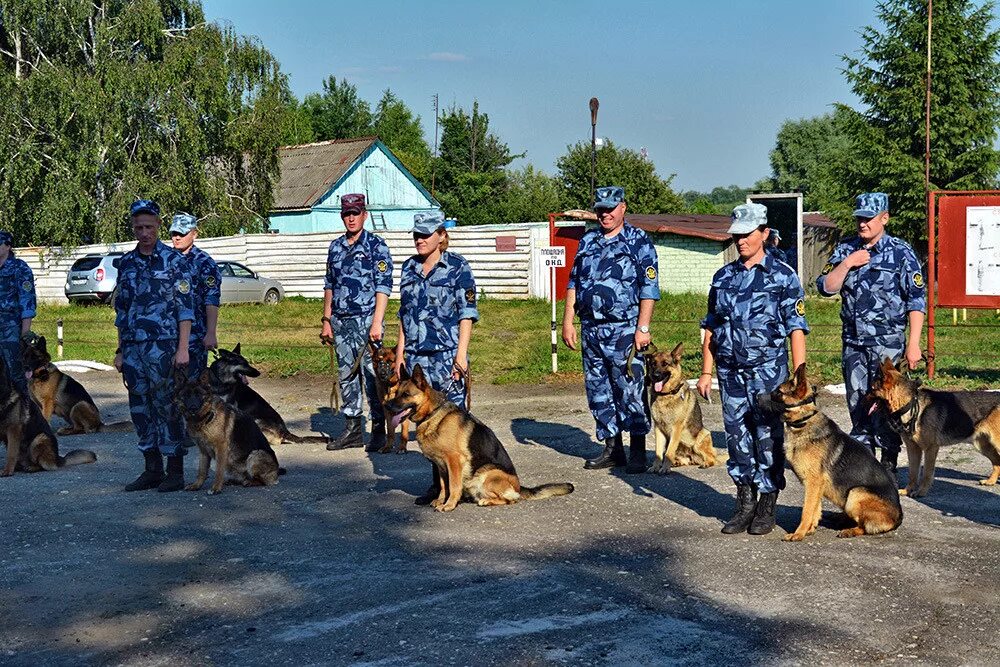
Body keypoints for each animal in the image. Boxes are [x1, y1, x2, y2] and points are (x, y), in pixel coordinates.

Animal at [384, 366, 576, 512]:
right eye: (396, 393)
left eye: (406, 394)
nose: (386, 406)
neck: (433, 414)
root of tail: (519, 486)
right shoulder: (440, 465)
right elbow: (444, 486)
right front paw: (440, 500)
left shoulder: (454, 462)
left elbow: (453, 486)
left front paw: (449, 505)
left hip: (488, 474)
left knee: (512, 499)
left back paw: (486, 501)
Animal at [644, 344, 716, 474]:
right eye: (653, 364)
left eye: (665, 364)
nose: (656, 376)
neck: (666, 394)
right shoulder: (658, 428)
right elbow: (658, 452)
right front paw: (656, 466)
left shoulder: (676, 429)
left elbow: (669, 452)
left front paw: (665, 468)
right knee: (685, 460)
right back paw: (677, 462)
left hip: (701, 437)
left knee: (712, 458)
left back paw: (706, 463)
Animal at [760, 366, 904, 544]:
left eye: (778, 392)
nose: (756, 397)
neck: (803, 421)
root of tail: (899, 516)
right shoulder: (816, 486)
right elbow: (815, 510)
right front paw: (810, 530)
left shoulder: (813, 483)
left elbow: (806, 511)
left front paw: (798, 533)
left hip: (856, 493)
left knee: (865, 526)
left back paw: (849, 530)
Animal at [868, 360, 1000, 496]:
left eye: (872, 389)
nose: (862, 399)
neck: (911, 404)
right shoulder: (913, 449)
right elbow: (913, 473)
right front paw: (908, 490)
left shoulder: (930, 449)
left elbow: (926, 473)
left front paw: (921, 492)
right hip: (982, 445)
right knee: (997, 462)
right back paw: (990, 481)